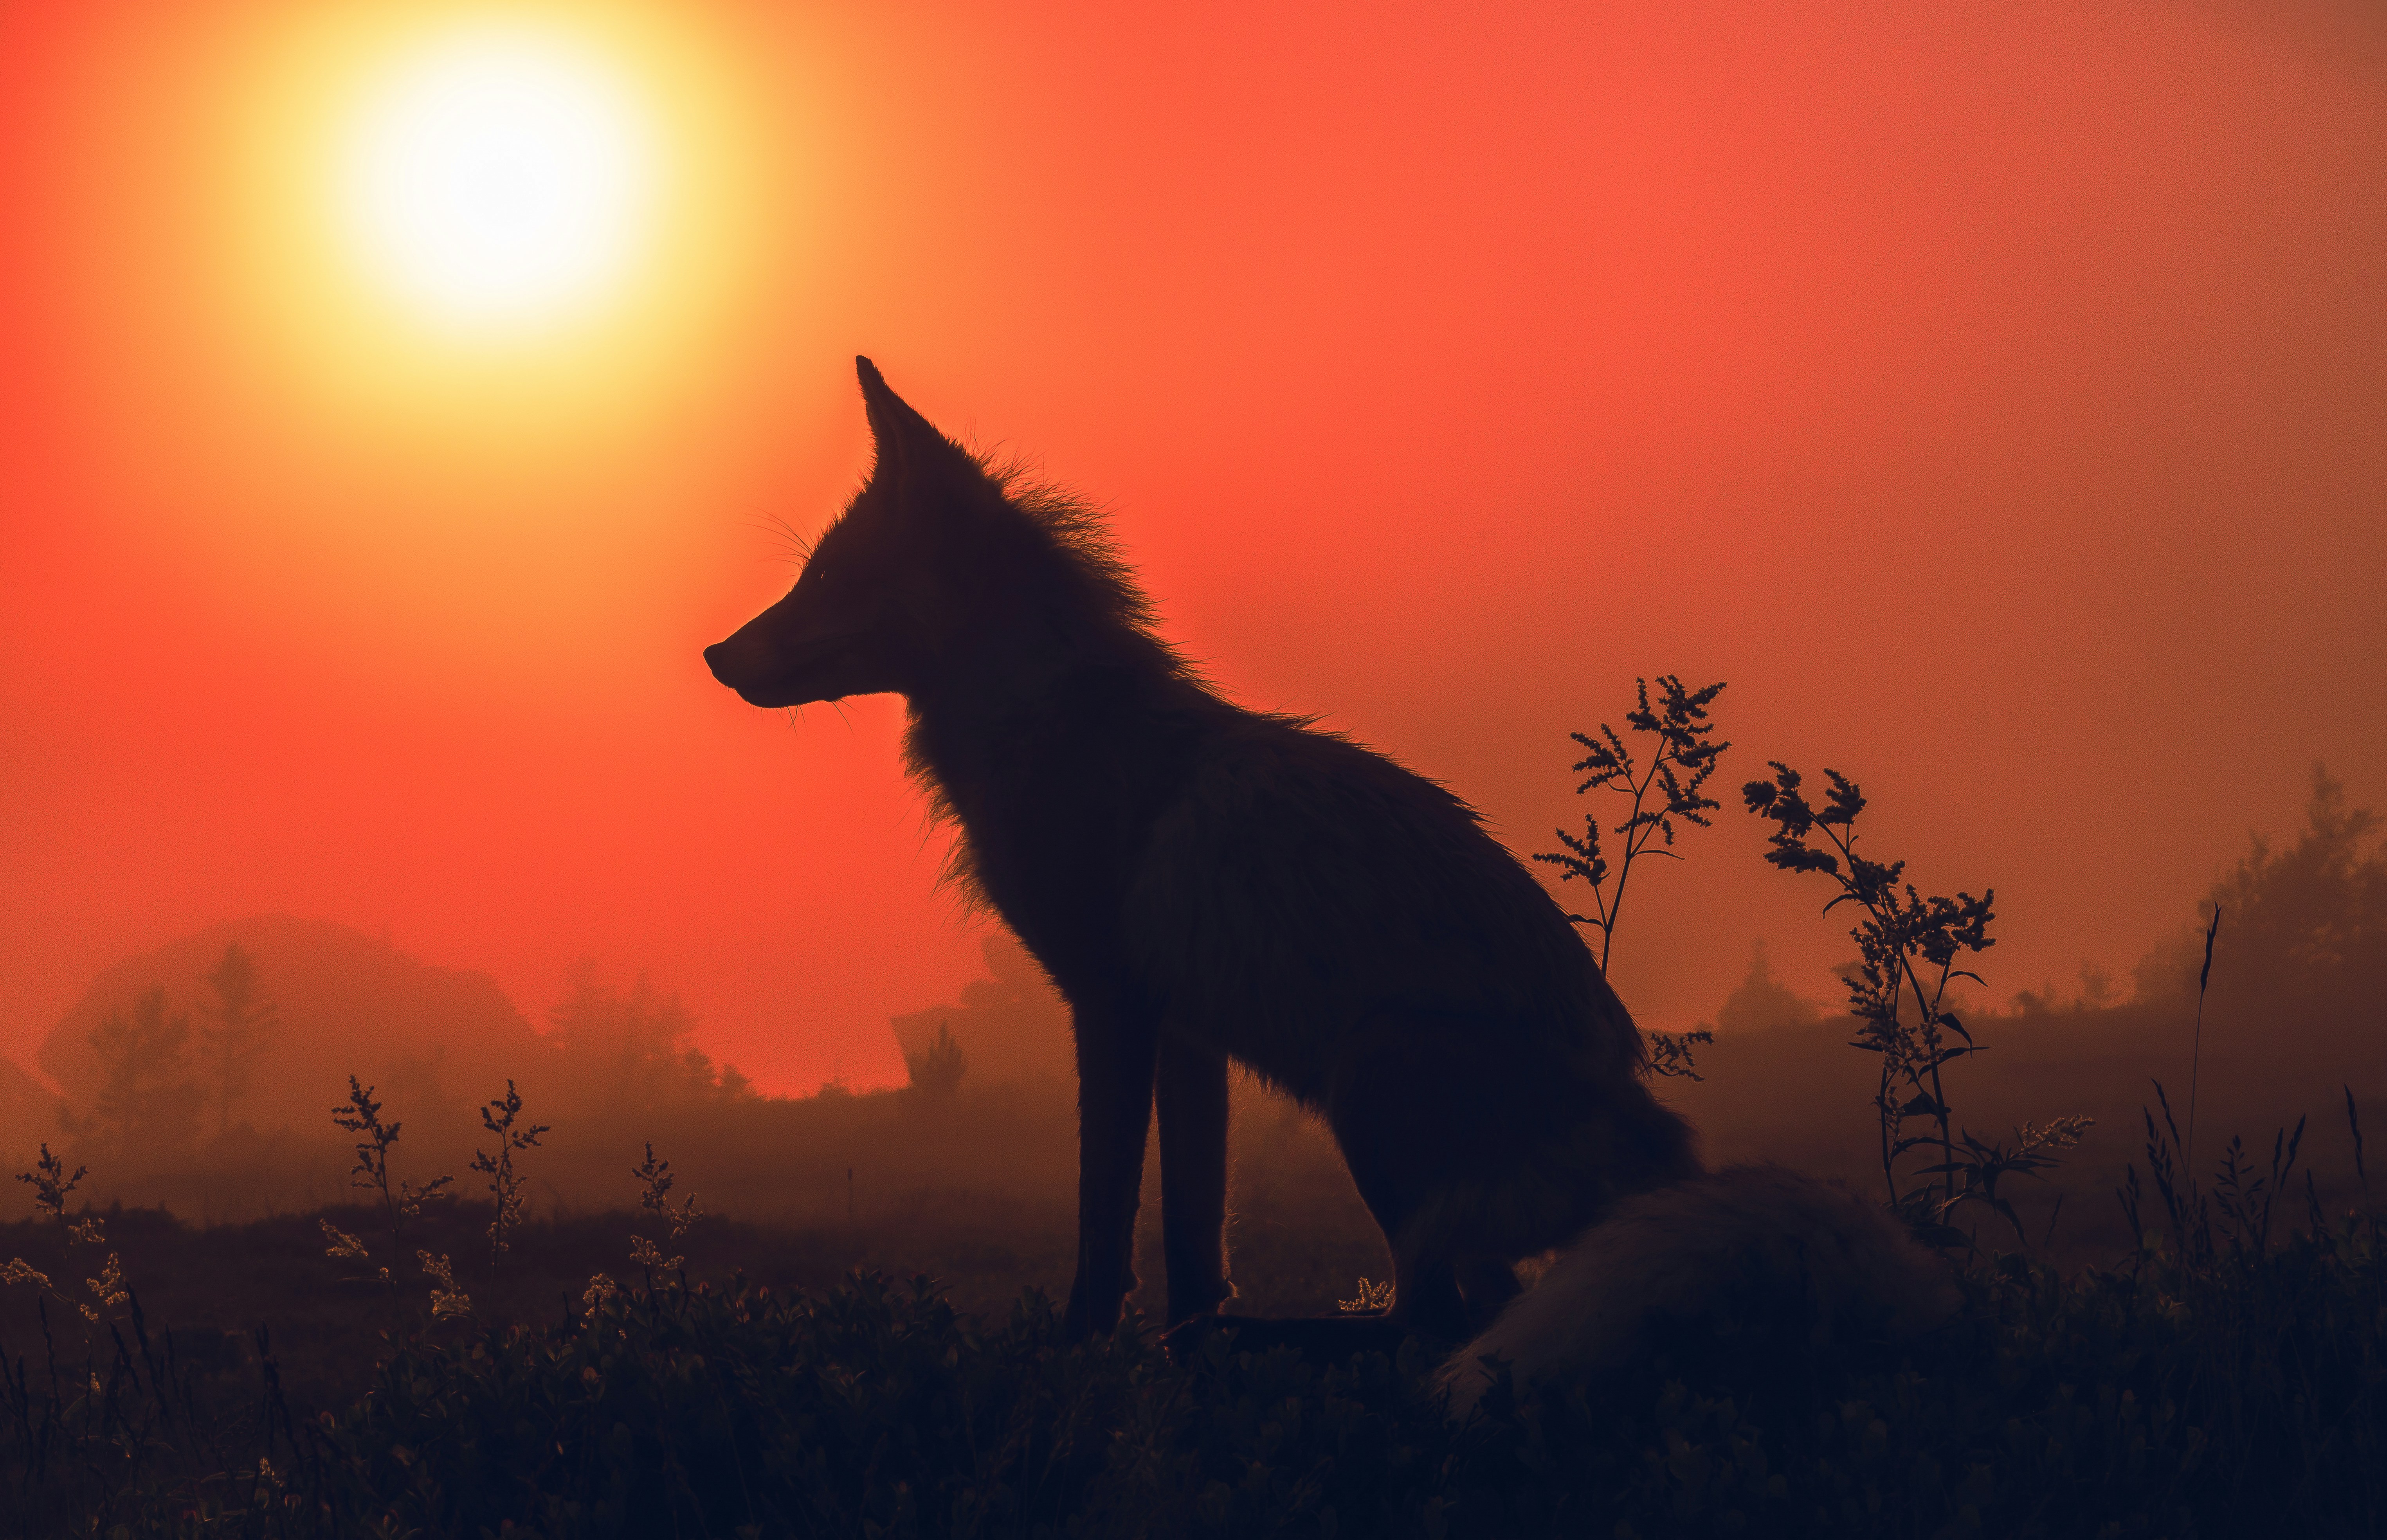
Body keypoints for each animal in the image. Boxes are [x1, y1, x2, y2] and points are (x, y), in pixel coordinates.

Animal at [706, 359, 1956, 1376]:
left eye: (829, 578)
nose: (715, 654)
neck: (1049, 727)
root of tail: (1655, 1146)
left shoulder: (1110, 1004)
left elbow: (1104, 1222)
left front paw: (1077, 1352)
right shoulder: (1186, 1031)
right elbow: (1193, 1232)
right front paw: (1184, 1345)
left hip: (1369, 1073)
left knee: (1435, 1326)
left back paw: (1302, 1342)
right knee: (1460, 1310)